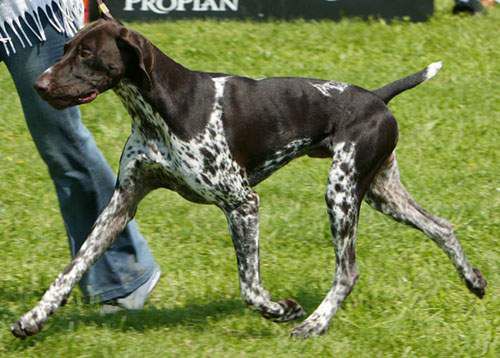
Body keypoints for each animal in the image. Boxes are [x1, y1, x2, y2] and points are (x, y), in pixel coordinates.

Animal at [11, 14, 486, 338]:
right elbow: (72, 268)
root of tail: (375, 98)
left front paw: (283, 310)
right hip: (379, 193)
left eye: (87, 55)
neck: (162, 108)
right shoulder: (121, 203)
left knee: (347, 271)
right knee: (442, 227)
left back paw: (314, 324)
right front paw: (34, 317)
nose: (39, 85)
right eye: (65, 47)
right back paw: (474, 281)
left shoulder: (242, 204)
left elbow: (251, 288)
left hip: (342, 192)